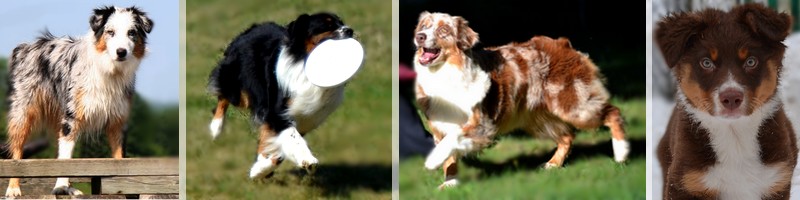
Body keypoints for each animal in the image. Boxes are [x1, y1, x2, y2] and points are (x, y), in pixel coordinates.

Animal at [4, 5, 152, 195]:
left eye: (131, 32)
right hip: (23, 113)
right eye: (110, 32)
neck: (109, 70)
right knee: (17, 151)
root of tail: (24, 46)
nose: (121, 52)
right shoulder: (71, 118)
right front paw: (60, 187)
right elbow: (66, 158)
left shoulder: (118, 121)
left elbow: (118, 156)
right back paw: (14, 188)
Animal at [208, 12, 354, 178]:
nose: (350, 30)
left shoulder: (305, 120)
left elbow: (277, 149)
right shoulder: (277, 113)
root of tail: (254, 27)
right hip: (238, 89)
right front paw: (308, 160)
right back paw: (216, 128)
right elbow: (292, 138)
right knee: (223, 96)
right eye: (327, 25)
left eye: (341, 22)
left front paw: (259, 169)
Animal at [412, 11, 632, 189]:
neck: (443, 73)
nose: (419, 36)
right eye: (424, 26)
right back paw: (553, 164)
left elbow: (452, 139)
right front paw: (450, 183)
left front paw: (432, 161)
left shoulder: (482, 124)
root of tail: (563, 43)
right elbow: (449, 155)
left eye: (443, 30)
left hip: (576, 107)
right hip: (539, 118)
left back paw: (621, 153)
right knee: (568, 136)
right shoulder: (440, 126)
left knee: (613, 112)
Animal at [652, 3, 796, 200]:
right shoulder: (686, 182)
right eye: (706, 63)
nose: (731, 98)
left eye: (751, 61)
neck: (734, 135)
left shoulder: (776, 180)